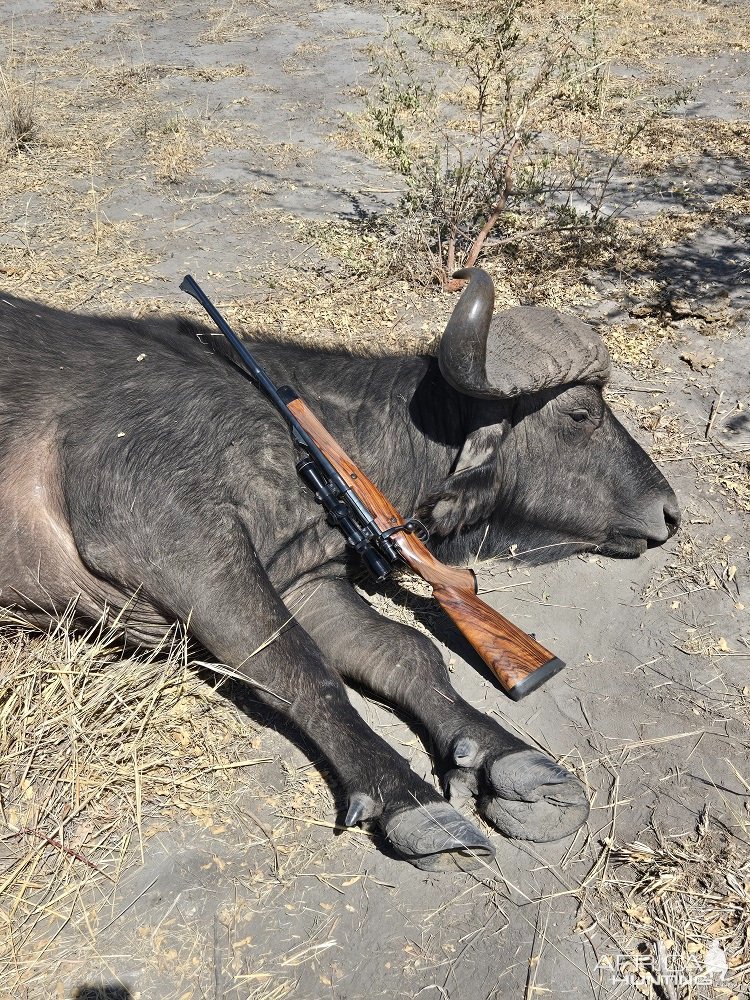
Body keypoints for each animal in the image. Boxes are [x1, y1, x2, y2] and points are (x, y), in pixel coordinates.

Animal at [0, 272, 680, 868]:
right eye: (581, 414)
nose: (671, 512)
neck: (277, 426)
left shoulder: (303, 581)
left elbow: (405, 651)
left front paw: (505, 756)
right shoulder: (181, 546)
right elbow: (303, 666)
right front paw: (408, 798)